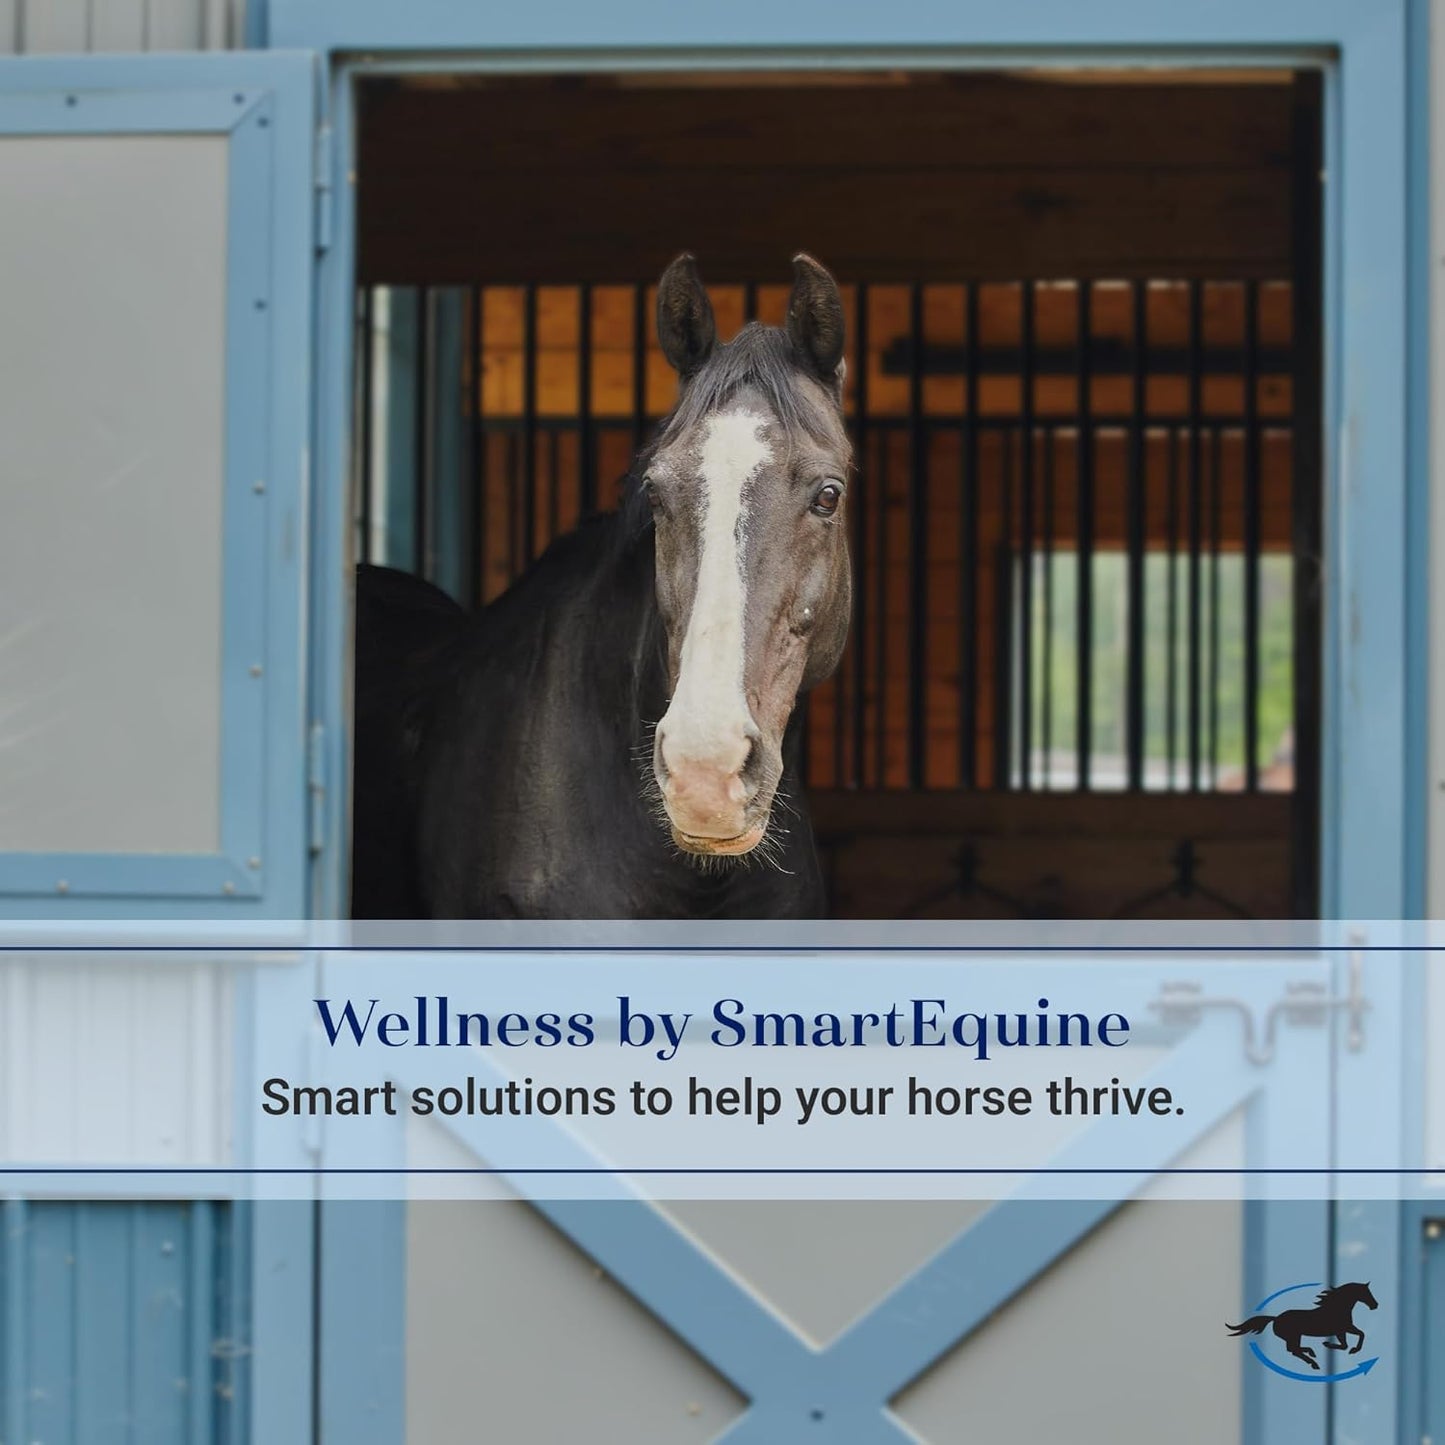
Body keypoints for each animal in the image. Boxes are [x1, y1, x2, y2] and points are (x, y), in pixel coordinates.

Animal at [1226, 1281, 1378, 1370]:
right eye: (1366, 1293)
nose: (1375, 1305)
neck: (1337, 1308)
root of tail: (1275, 1318)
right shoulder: (1343, 1329)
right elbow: (1355, 1338)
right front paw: (1348, 1348)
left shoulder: (1343, 1330)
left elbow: (1351, 1340)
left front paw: (1338, 1346)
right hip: (1294, 1335)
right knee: (1294, 1350)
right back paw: (1313, 1362)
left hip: (1295, 1336)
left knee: (1294, 1349)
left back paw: (1311, 1353)